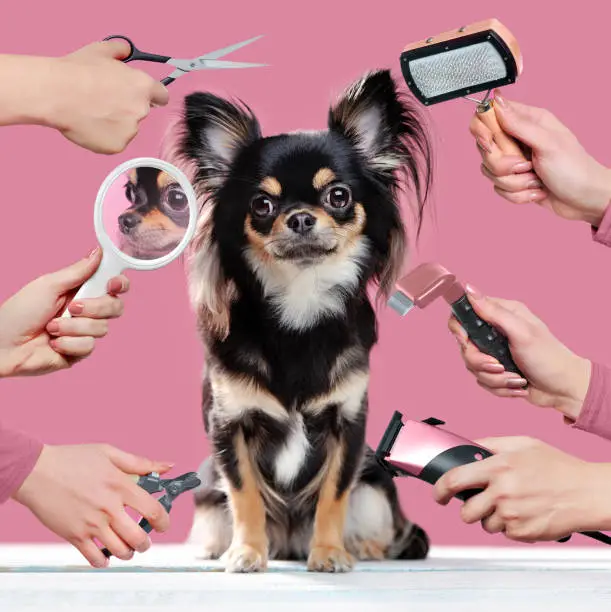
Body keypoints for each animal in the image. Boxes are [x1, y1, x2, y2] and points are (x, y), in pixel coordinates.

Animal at [166, 69, 436, 572]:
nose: (301, 217)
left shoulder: (348, 426)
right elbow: (245, 495)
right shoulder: (229, 426)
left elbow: (334, 495)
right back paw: (219, 547)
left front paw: (329, 554)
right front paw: (247, 553)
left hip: (374, 481)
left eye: (339, 196)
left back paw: (361, 548)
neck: (300, 305)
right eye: (262, 205)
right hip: (207, 490)